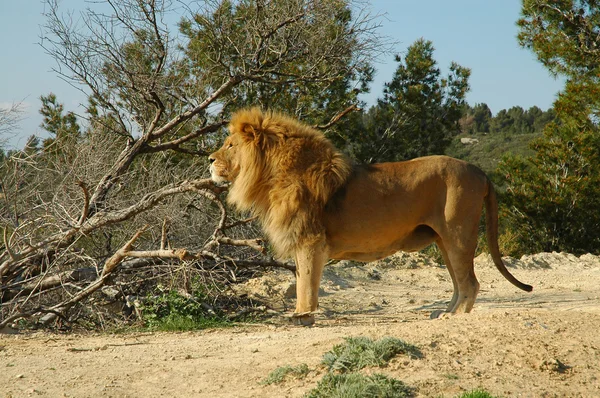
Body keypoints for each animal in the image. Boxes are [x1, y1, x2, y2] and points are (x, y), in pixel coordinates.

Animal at [209, 107, 532, 324]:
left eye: (229, 145)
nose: (209, 160)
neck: (273, 175)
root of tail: (480, 171)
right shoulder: (301, 240)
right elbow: (302, 280)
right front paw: (302, 314)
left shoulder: (310, 240)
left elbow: (307, 284)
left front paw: (303, 316)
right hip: (444, 241)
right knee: (459, 283)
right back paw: (444, 312)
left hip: (458, 235)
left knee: (471, 284)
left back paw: (453, 318)